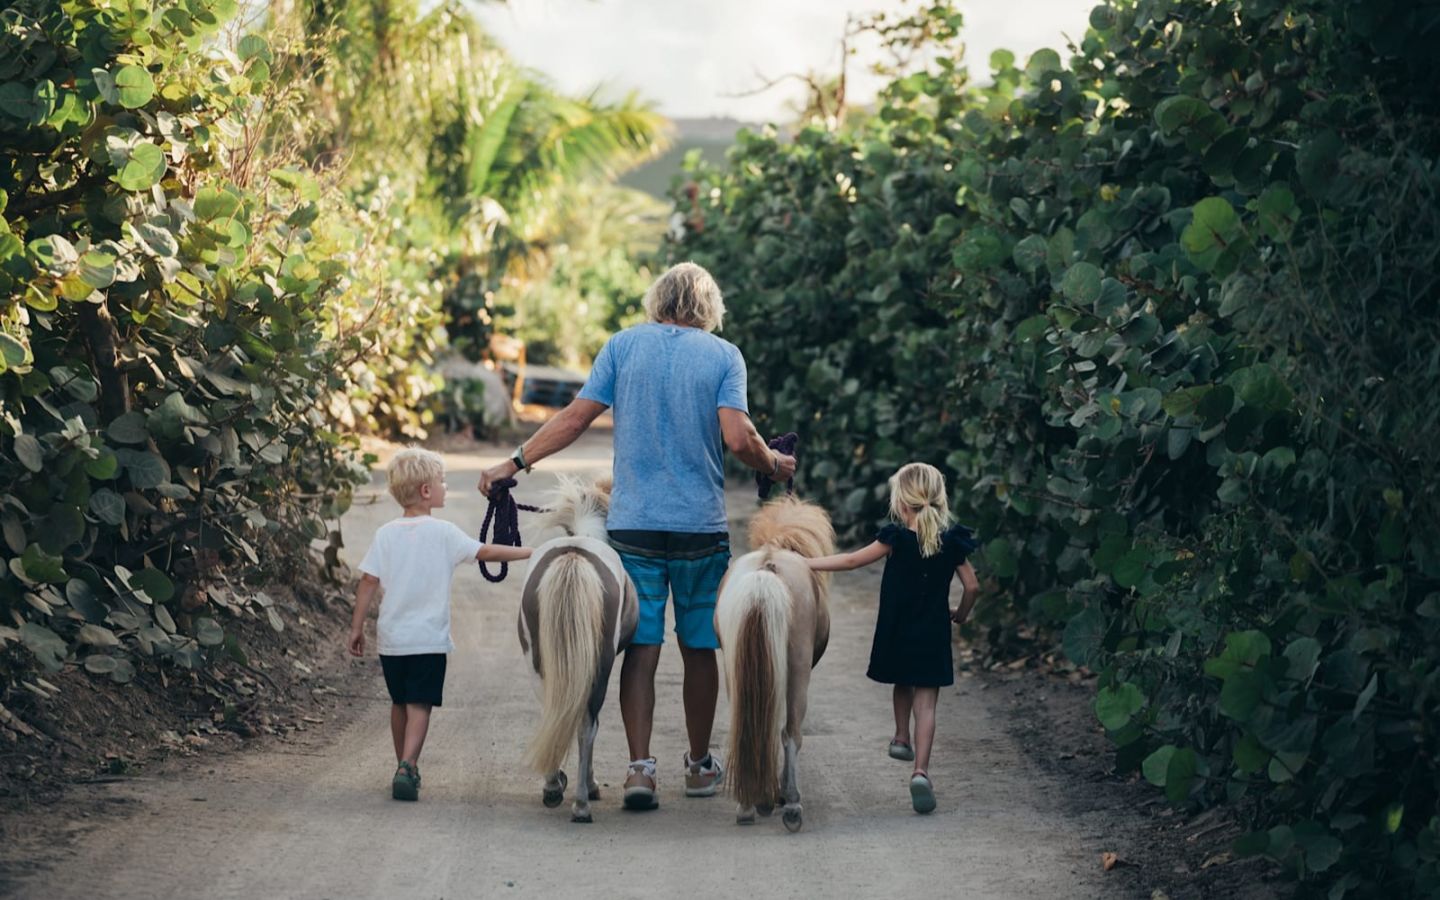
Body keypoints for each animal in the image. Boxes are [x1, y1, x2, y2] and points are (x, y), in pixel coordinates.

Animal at [515, 478, 633, 823]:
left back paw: (553, 786)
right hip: (600, 667)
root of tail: (574, 558)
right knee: (586, 726)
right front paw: (591, 786)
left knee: (554, 711)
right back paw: (582, 801)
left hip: (537, 662)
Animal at [711, 495, 835, 829]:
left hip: (735, 667)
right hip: (797, 671)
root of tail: (766, 569)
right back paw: (790, 804)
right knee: (791, 734)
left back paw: (747, 805)